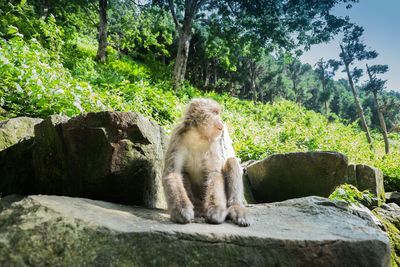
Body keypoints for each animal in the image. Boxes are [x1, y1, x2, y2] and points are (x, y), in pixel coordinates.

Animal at [161, 98, 248, 228]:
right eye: (215, 113)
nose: (221, 120)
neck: (198, 135)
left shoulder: (214, 142)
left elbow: (214, 172)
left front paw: (216, 210)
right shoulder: (177, 137)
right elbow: (173, 172)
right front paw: (181, 210)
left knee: (231, 161)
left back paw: (235, 207)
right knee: (183, 173)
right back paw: (196, 209)